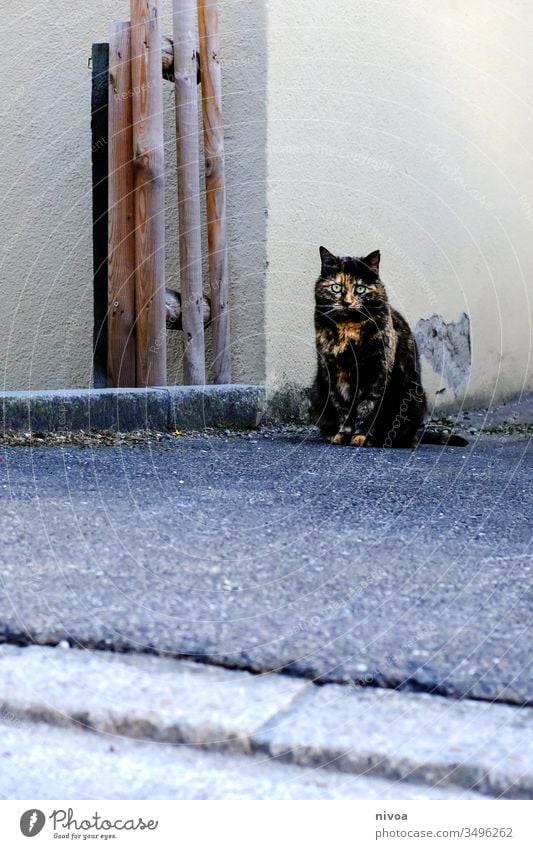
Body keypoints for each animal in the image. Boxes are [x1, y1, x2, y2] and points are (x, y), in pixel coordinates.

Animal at [310, 245, 468, 448]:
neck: (349, 334)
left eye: (360, 289)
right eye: (336, 287)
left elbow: (367, 408)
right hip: (317, 392)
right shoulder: (335, 372)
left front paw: (361, 437)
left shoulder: (377, 370)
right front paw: (343, 435)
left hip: (413, 398)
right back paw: (331, 435)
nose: (347, 302)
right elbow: (343, 408)